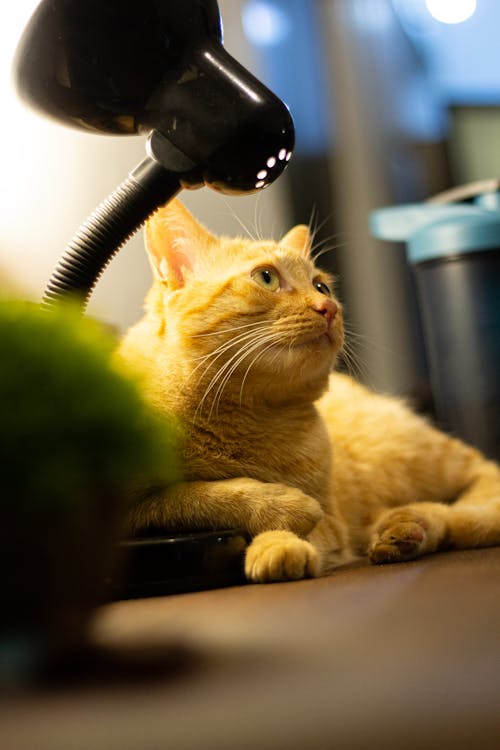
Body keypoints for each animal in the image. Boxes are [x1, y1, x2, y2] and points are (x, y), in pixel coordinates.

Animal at [116, 198, 500, 580]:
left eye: (321, 287)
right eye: (266, 277)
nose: (328, 308)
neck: (246, 416)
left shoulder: (332, 522)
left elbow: (304, 527)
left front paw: (277, 543)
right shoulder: (127, 512)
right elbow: (189, 497)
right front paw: (280, 507)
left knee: (482, 489)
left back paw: (412, 523)